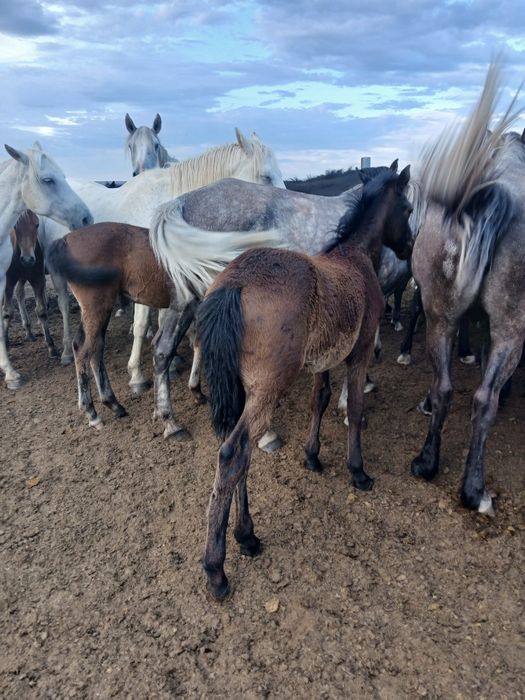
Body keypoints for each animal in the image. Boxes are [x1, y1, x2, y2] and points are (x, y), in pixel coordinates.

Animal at [3, 210, 58, 358]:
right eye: (15, 226)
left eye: (37, 224)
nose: (27, 259)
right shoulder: (8, 281)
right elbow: (7, 312)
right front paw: (5, 345)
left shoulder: (37, 278)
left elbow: (41, 310)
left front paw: (51, 346)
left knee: (19, 294)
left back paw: (29, 331)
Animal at [45, 222, 280, 430]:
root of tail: (65, 240)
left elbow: (198, 342)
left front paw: (196, 390)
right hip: (97, 307)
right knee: (84, 350)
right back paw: (92, 413)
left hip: (98, 310)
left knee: (92, 348)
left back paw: (113, 403)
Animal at [195, 166, 413, 600]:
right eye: (409, 207)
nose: (411, 245)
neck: (354, 257)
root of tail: (234, 283)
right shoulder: (360, 352)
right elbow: (355, 409)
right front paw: (358, 471)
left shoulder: (323, 360)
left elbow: (321, 399)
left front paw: (312, 456)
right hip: (267, 387)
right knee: (233, 454)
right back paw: (217, 569)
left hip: (241, 388)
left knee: (238, 453)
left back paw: (247, 536)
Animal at [409, 61, 524, 516]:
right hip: (513, 327)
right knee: (483, 400)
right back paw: (474, 489)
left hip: (440, 314)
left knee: (445, 388)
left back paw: (427, 461)